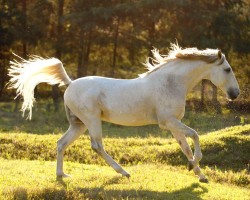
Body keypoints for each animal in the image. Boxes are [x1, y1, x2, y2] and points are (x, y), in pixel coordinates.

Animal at [7, 43, 239, 183]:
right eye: (227, 69)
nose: (235, 94)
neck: (171, 83)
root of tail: (70, 83)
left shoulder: (174, 125)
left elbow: (186, 147)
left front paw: (199, 174)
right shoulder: (168, 122)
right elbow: (195, 136)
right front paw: (195, 167)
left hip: (78, 124)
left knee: (61, 143)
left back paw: (61, 175)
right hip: (92, 121)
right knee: (97, 146)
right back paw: (124, 172)